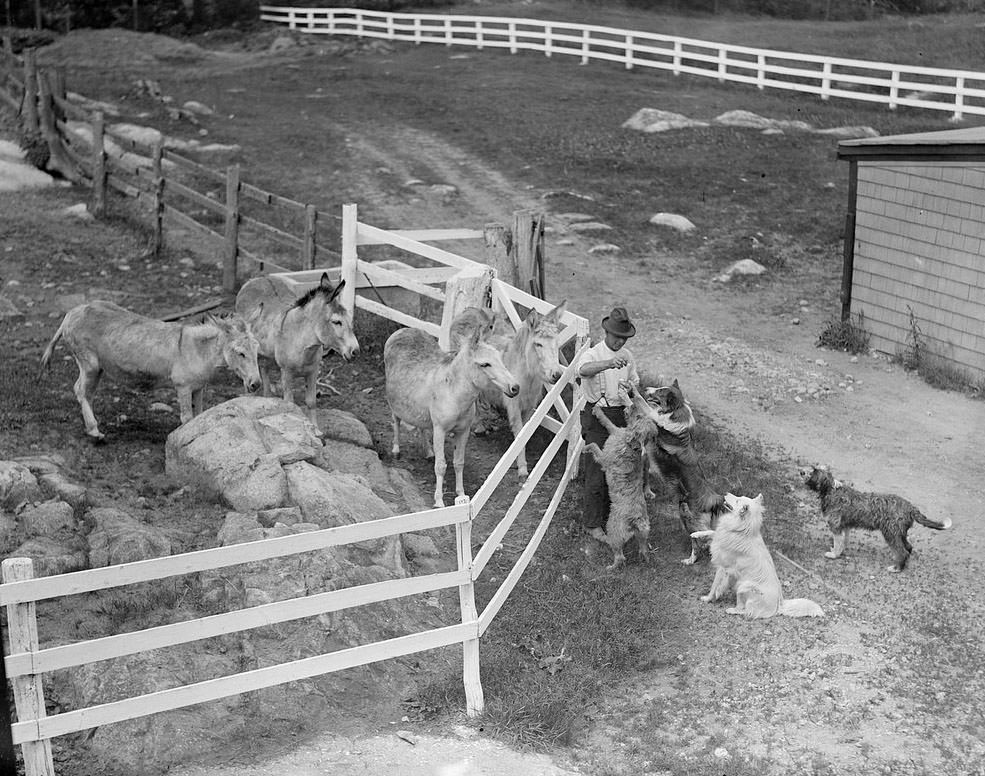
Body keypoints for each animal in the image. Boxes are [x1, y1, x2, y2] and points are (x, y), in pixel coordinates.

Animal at [584, 384, 660, 568]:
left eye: (638, 415)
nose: (631, 400)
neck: (631, 445)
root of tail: (636, 519)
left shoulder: (604, 458)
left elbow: (594, 445)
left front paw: (585, 448)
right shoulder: (614, 430)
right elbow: (607, 421)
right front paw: (598, 410)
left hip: (614, 529)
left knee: (620, 557)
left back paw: (610, 565)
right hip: (644, 533)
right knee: (643, 549)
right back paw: (644, 557)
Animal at [636, 380, 728, 564]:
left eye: (660, 391)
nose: (646, 388)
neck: (674, 412)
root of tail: (713, 500)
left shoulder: (657, 426)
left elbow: (644, 406)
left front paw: (629, 391)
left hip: (687, 514)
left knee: (703, 540)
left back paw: (690, 559)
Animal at [696, 498, 828, 620]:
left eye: (737, 500)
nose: (724, 496)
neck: (744, 531)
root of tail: (780, 604)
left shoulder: (723, 568)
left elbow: (715, 585)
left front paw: (708, 598)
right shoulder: (721, 537)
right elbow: (713, 532)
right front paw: (697, 534)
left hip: (744, 586)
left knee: (747, 611)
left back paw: (732, 610)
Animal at [800, 464, 952, 572]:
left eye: (813, 471)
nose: (800, 471)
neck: (831, 490)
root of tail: (910, 507)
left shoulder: (836, 526)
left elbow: (838, 543)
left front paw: (834, 555)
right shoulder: (845, 526)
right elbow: (843, 542)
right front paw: (838, 551)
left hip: (890, 533)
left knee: (903, 551)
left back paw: (896, 568)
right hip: (900, 533)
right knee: (908, 548)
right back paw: (902, 564)